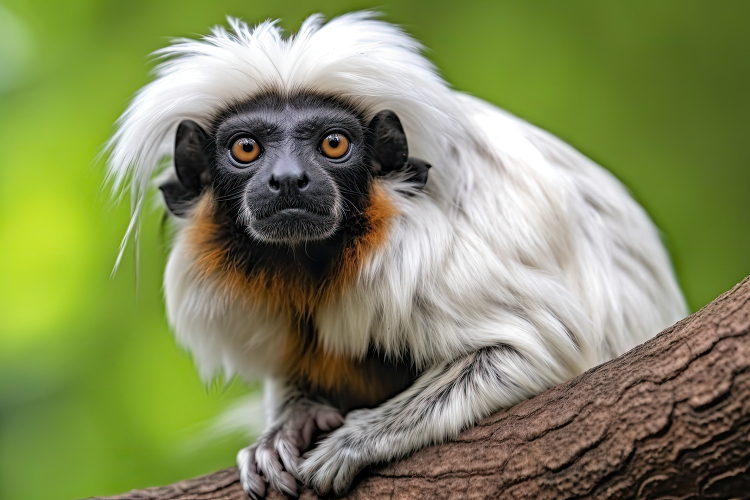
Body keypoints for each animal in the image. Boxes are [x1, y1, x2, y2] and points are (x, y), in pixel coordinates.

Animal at [107, 11, 692, 500]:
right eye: (246, 149)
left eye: (334, 144)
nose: (288, 179)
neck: (316, 259)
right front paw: (288, 425)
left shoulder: (420, 259)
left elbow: (536, 347)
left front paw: (356, 440)